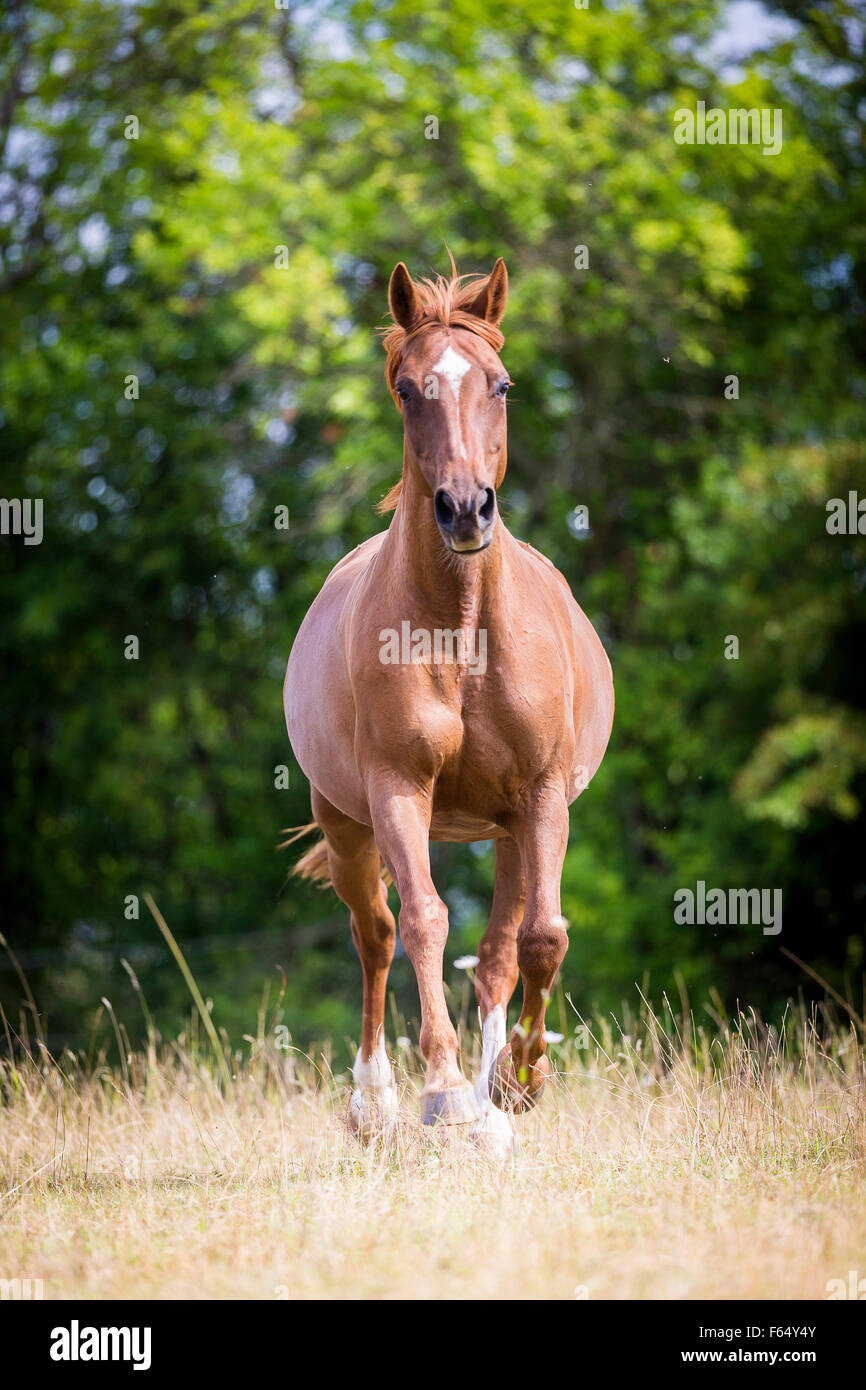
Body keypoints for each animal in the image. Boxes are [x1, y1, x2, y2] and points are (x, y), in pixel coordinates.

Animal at [284, 258, 614, 1152]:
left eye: (500, 385)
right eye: (407, 390)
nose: (465, 509)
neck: (462, 632)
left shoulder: (541, 795)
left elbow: (540, 937)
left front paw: (517, 1082)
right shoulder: (398, 790)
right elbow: (424, 922)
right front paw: (446, 1091)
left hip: (505, 830)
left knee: (500, 949)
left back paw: (499, 1098)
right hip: (344, 819)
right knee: (375, 937)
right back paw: (375, 1103)